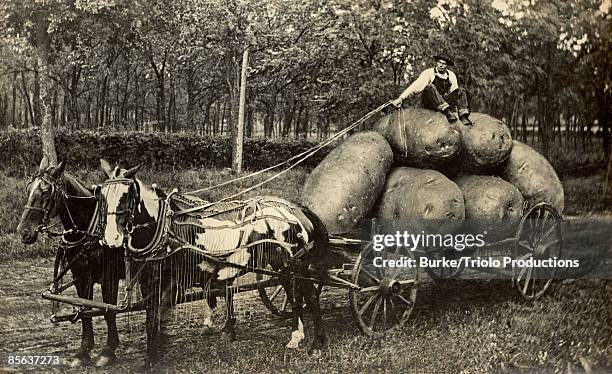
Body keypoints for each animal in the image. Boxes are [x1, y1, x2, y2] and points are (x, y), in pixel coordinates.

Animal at [15, 156, 124, 368]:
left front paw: (108, 351)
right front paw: (83, 351)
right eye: (28, 189)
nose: (23, 232)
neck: (90, 229)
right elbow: (84, 310)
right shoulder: (81, 275)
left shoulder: (109, 275)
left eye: (46, 192)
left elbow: (108, 311)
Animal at [98, 161, 342, 368]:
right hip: (283, 265)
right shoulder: (151, 281)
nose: (111, 238)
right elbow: (153, 318)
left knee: (311, 296)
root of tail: (296, 209)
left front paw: (152, 359)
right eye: (101, 195)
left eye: (127, 196)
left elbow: (154, 319)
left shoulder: (168, 282)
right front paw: (156, 352)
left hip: (296, 264)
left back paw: (317, 344)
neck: (165, 229)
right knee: (294, 295)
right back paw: (295, 337)